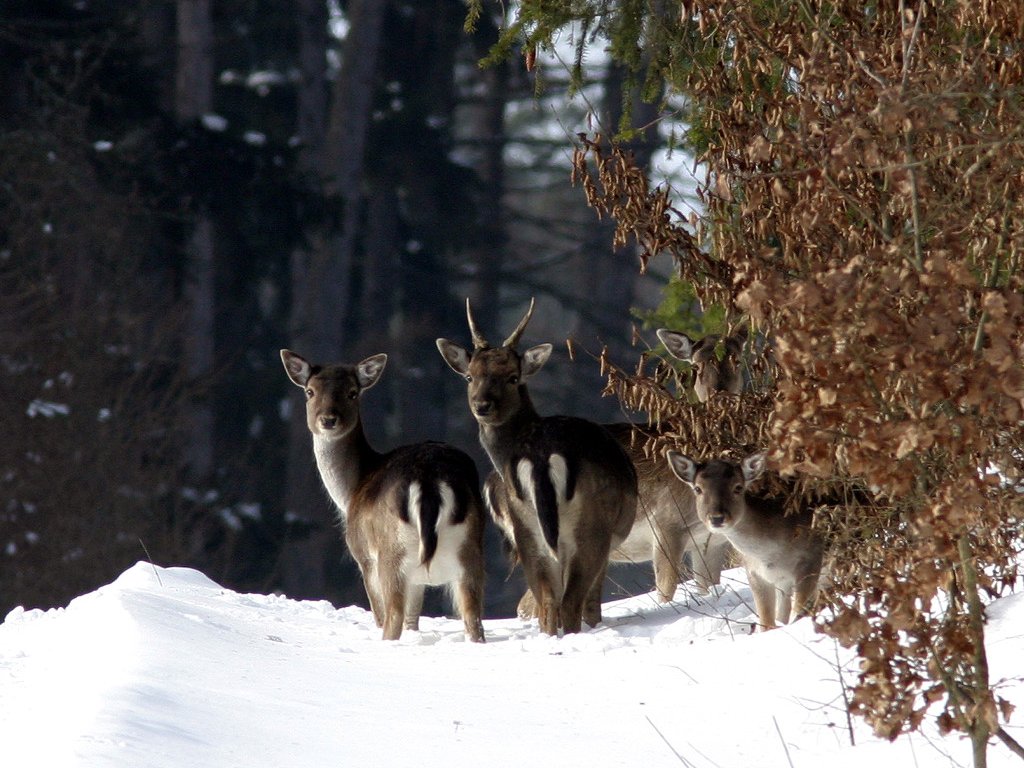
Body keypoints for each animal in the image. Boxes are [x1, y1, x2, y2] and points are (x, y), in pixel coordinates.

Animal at [280, 350, 487, 643]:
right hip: (470, 550)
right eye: (310, 391)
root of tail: (429, 480)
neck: (351, 490)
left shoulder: (364, 557)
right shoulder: (417, 580)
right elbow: (414, 620)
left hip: (392, 554)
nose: (328, 420)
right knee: (472, 617)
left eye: (353, 392)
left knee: (392, 618)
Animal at [436, 301, 634, 638]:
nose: (482, 405)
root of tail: (541, 460)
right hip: (590, 529)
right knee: (569, 602)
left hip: (527, 529)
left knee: (548, 601)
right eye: (469, 377)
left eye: (512, 377)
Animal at [663, 450, 823, 630]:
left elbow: (799, 610)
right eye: (698, 488)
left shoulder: (811, 557)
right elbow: (767, 622)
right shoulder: (756, 574)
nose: (717, 518)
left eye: (738, 487)